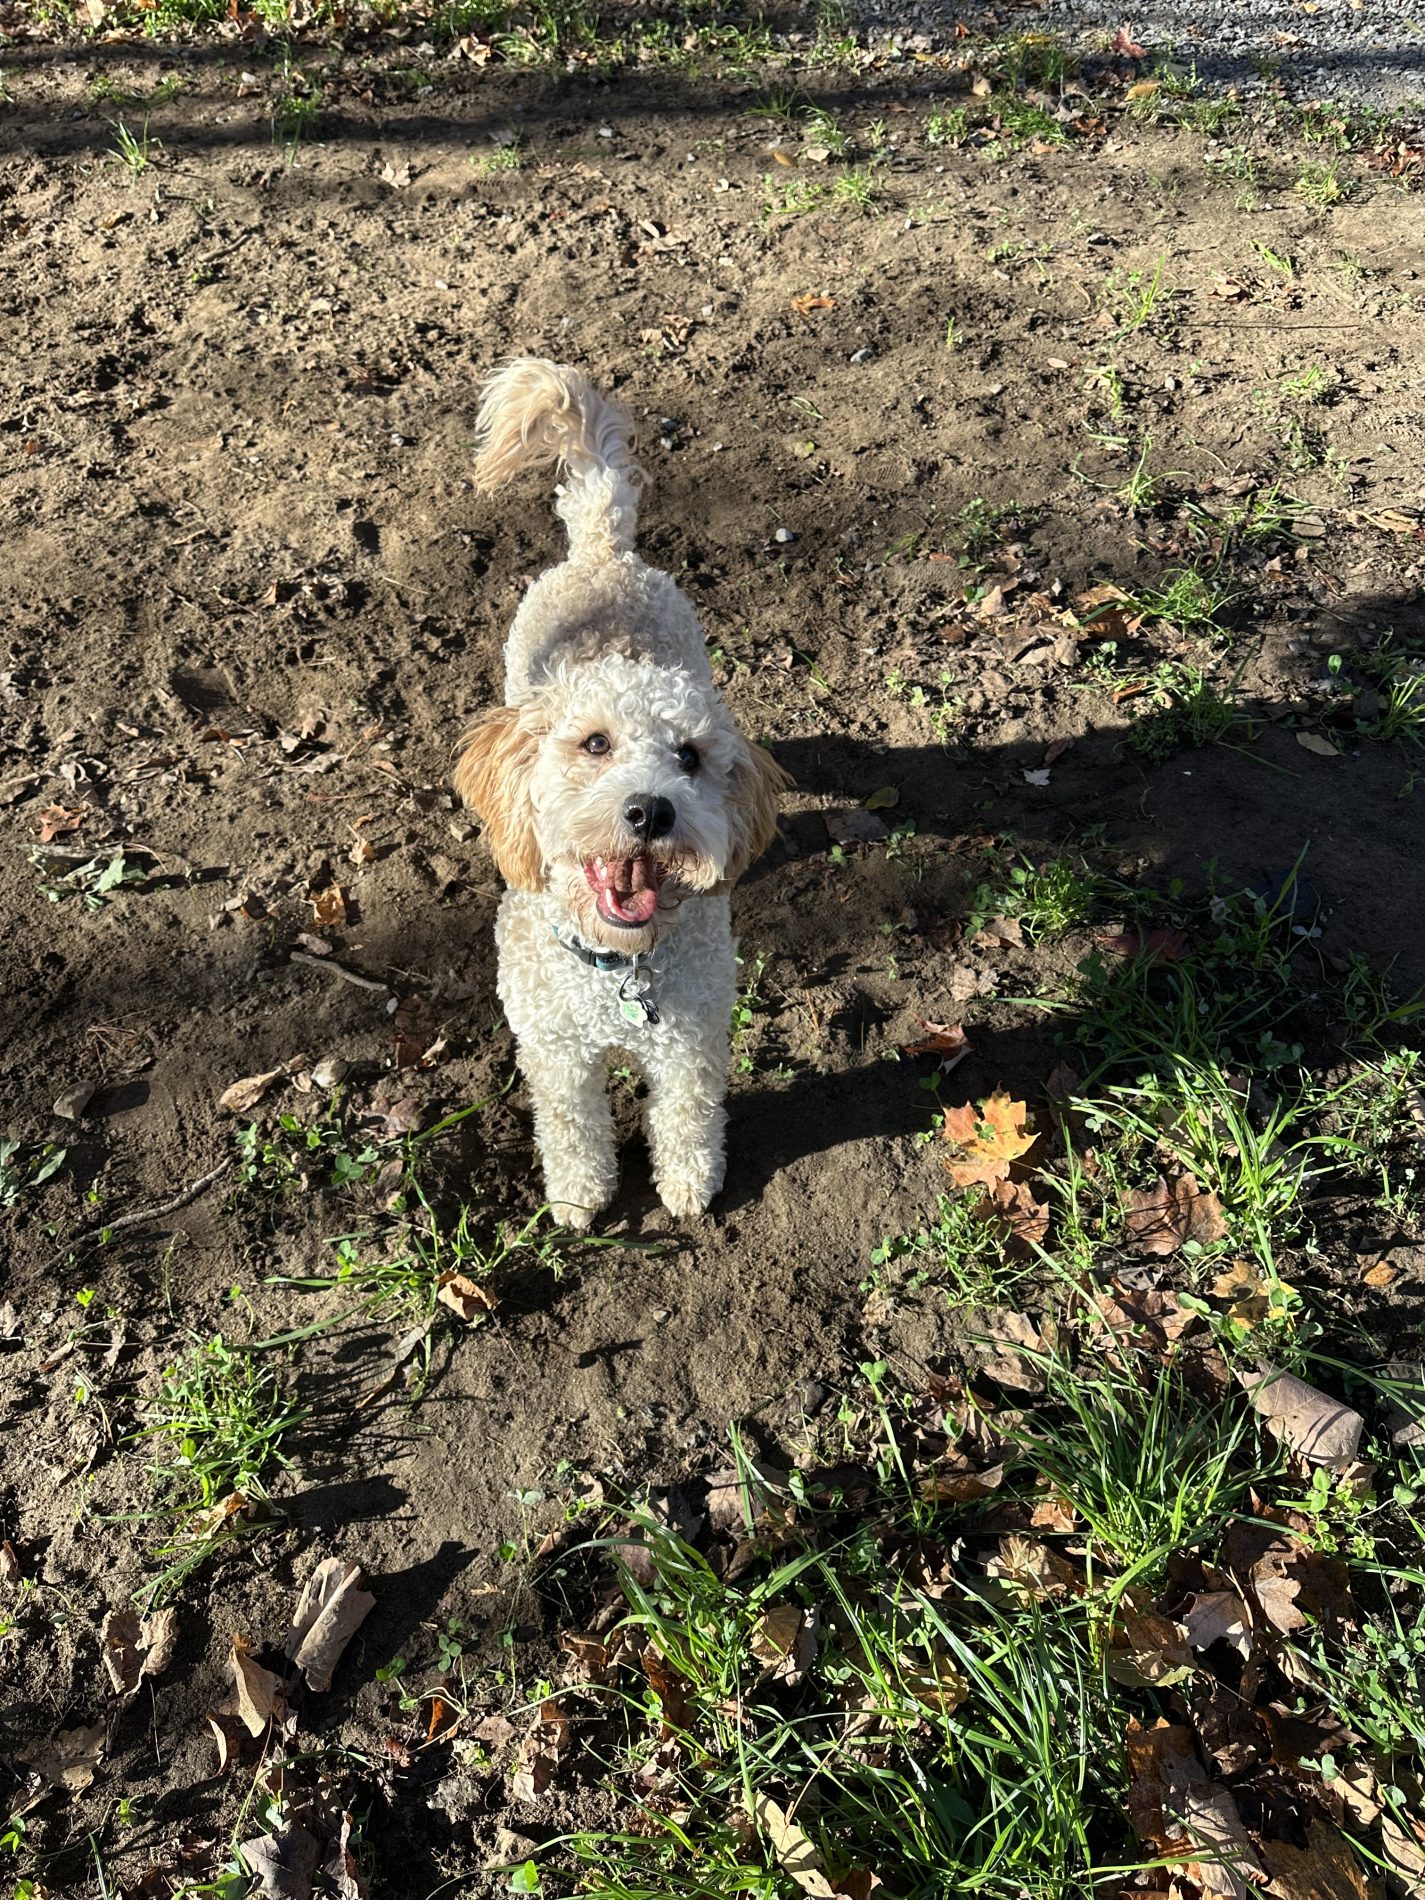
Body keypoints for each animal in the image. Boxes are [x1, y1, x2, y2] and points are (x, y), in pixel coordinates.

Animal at [454, 359, 790, 1227]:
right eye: (595, 744)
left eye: (690, 757)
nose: (649, 809)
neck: (619, 972)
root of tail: (603, 551)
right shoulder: (555, 1055)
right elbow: (570, 1125)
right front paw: (578, 1196)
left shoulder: (694, 1040)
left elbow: (688, 1114)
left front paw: (688, 1184)